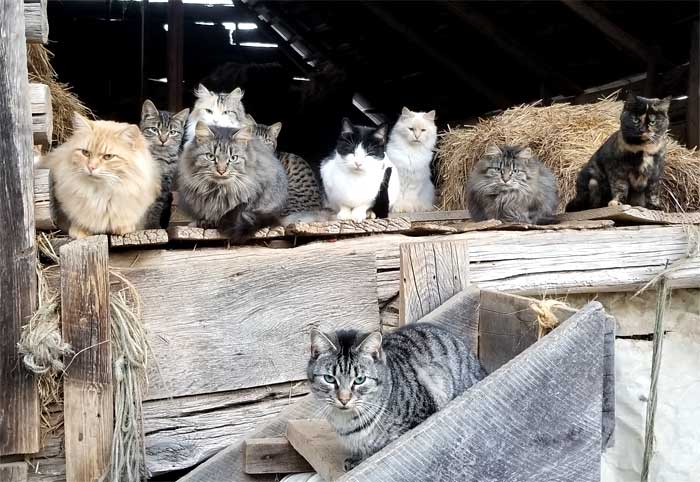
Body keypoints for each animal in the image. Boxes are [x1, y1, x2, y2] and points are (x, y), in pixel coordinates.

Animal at [138, 99, 189, 228]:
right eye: (154, 129)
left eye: (172, 132)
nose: (163, 140)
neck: (159, 157)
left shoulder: (165, 180)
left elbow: (157, 204)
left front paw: (152, 224)